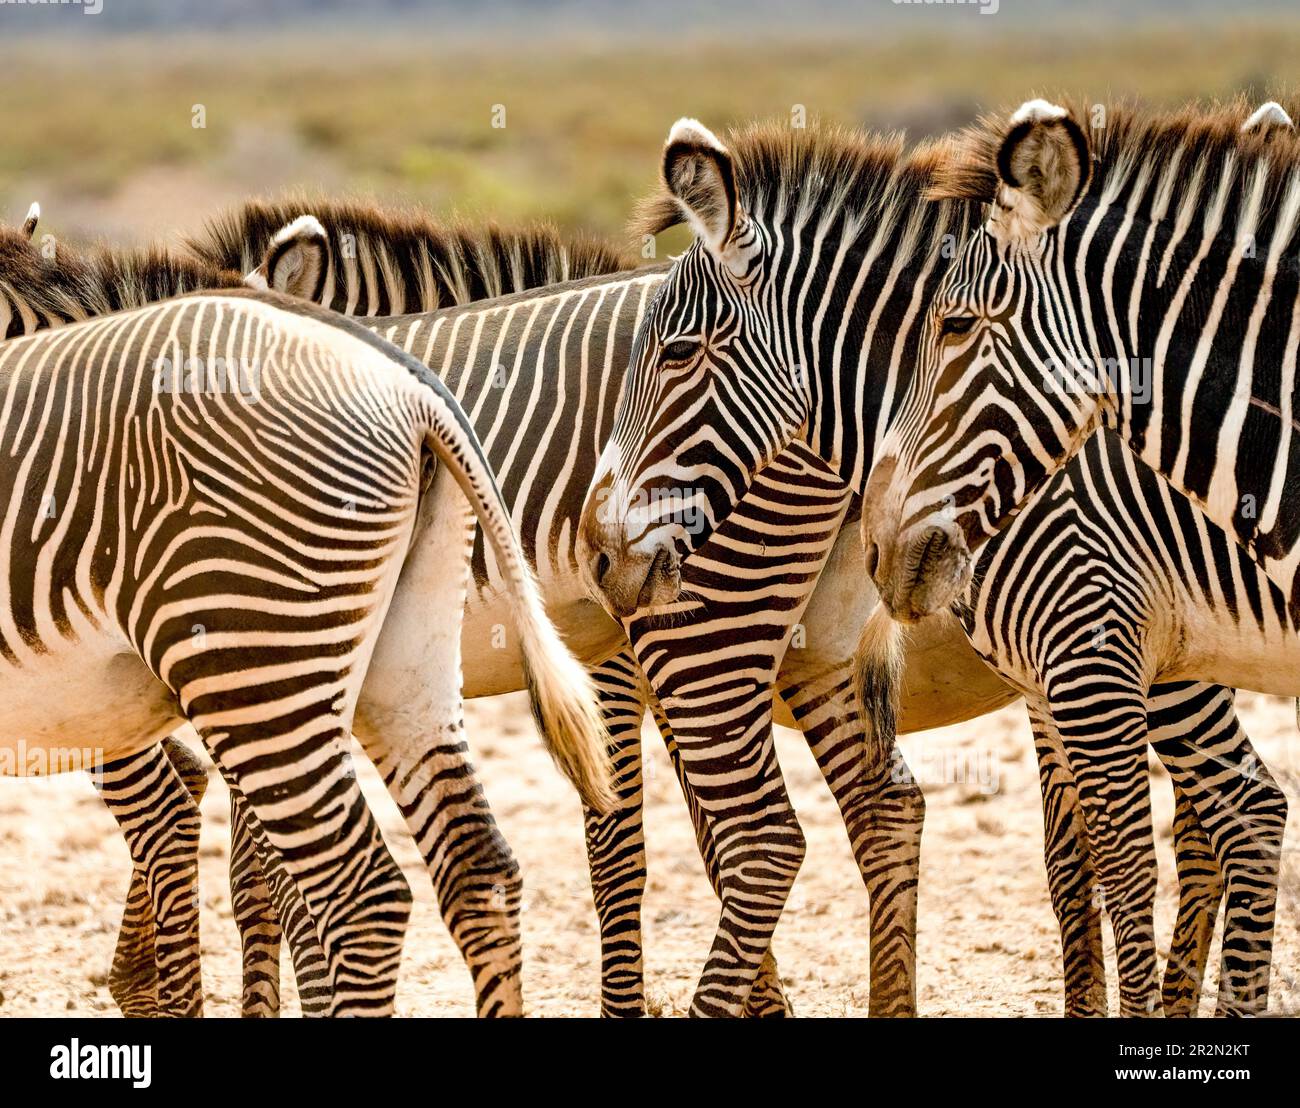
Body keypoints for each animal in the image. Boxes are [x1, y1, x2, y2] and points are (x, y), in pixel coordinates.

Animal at [577, 116, 1287, 1015]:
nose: (595, 551)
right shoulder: (1061, 668)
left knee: (1241, 815)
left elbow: (1118, 864)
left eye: (675, 354)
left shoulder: (1093, 645)